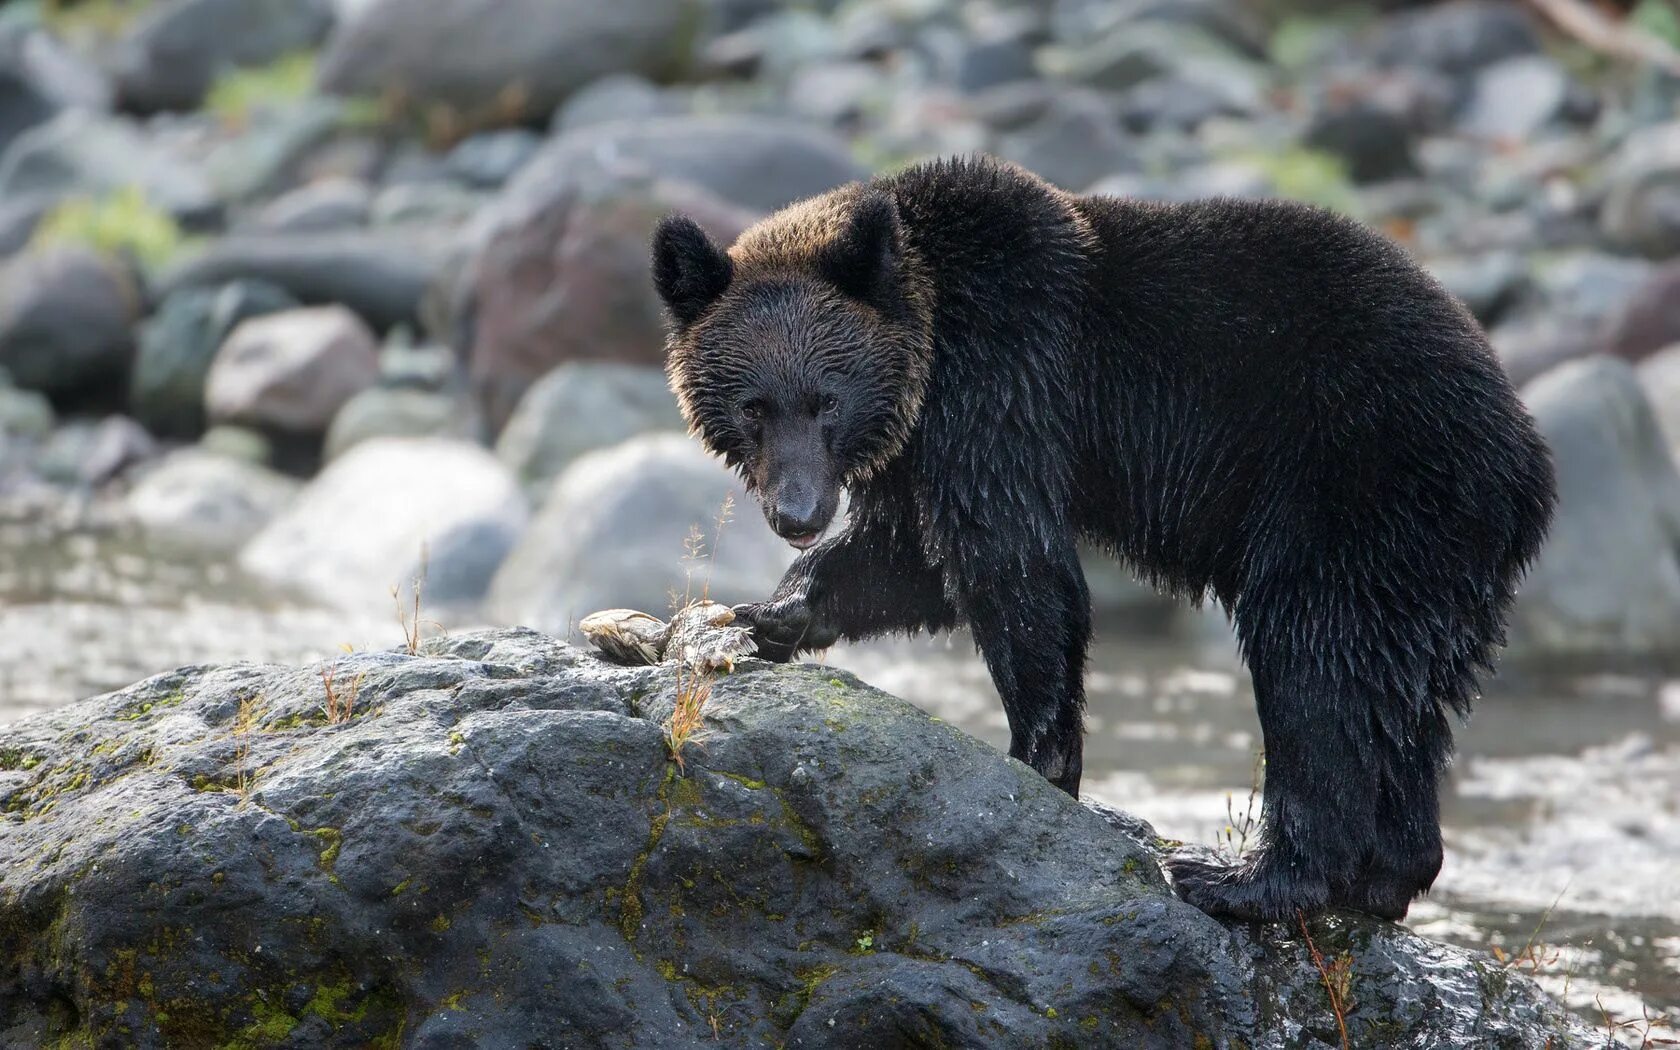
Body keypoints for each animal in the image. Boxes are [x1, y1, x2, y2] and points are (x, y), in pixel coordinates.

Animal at [648, 155, 1552, 913]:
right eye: (754, 407)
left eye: (826, 400)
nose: (797, 514)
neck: (933, 337)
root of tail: (1526, 459)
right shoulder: (928, 441)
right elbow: (912, 560)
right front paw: (771, 615)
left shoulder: (1003, 380)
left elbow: (1009, 562)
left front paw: (1036, 762)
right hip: (1437, 561)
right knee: (1405, 697)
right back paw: (1389, 877)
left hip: (1357, 487)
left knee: (1315, 663)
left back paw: (1244, 878)